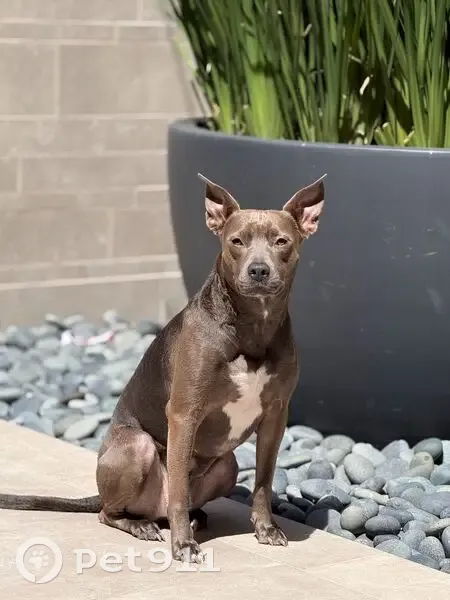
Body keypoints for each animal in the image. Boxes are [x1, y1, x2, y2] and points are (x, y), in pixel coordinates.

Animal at [0, 172, 326, 563]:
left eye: (281, 241)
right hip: (136, 448)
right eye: (236, 241)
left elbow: (263, 480)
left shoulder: (277, 415)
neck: (251, 327)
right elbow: (181, 493)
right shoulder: (185, 413)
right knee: (111, 512)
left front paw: (266, 528)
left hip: (228, 464)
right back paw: (142, 525)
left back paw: (193, 518)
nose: (258, 270)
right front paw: (184, 545)